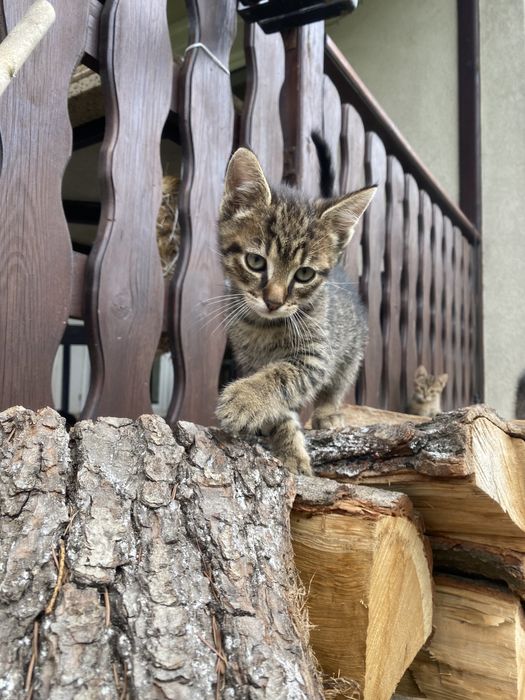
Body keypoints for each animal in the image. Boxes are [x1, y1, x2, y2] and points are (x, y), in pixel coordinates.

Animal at [215, 139, 374, 474]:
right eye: (255, 261)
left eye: (304, 275)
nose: (273, 301)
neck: (264, 325)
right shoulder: (247, 359)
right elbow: (281, 403)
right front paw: (288, 448)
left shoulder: (315, 356)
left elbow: (282, 378)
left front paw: (244, 399)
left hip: (352, 347)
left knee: (339, 381)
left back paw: (328, 412)